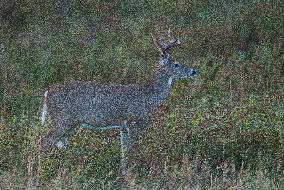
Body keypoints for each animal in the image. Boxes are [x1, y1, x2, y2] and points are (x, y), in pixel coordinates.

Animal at [38, 29, 196, 173]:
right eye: (176, 64)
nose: (194, 71)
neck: (149, 97)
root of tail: (47, 92)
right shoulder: (135, 121)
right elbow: (135, 148)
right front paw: (136, 170)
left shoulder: (123, 126)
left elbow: (124, 150)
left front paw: (124, 172)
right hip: (62, 120)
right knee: (43, 142)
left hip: (69, 123)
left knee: (58, 143)